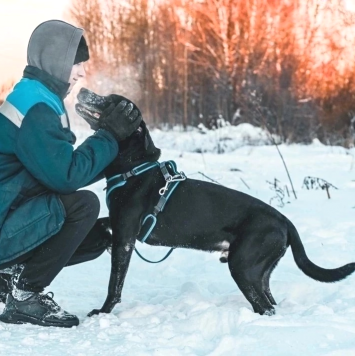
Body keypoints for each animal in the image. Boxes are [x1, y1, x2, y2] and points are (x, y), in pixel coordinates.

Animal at [76, 89, 355, 318]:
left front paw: (103, 312)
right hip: (259, 272)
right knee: (270, 303)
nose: (83, 89)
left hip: (243, 267)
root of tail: (285, 221)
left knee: (264, 307)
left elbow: (115, 283)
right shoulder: (119, 224)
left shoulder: (125, 236)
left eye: (110, 100)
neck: (133, 168)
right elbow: (102, 223)